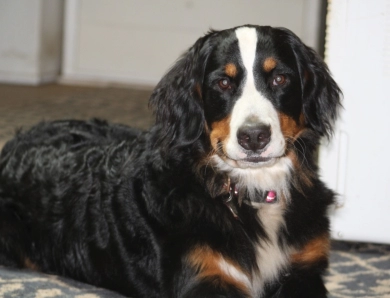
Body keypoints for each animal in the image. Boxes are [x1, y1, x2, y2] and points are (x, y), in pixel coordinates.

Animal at [0, 25, 342, 298]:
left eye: (280, 79)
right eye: (223, 83)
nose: (254, 136)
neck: (249, 192)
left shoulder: (304, 269)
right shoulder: (204, 275)